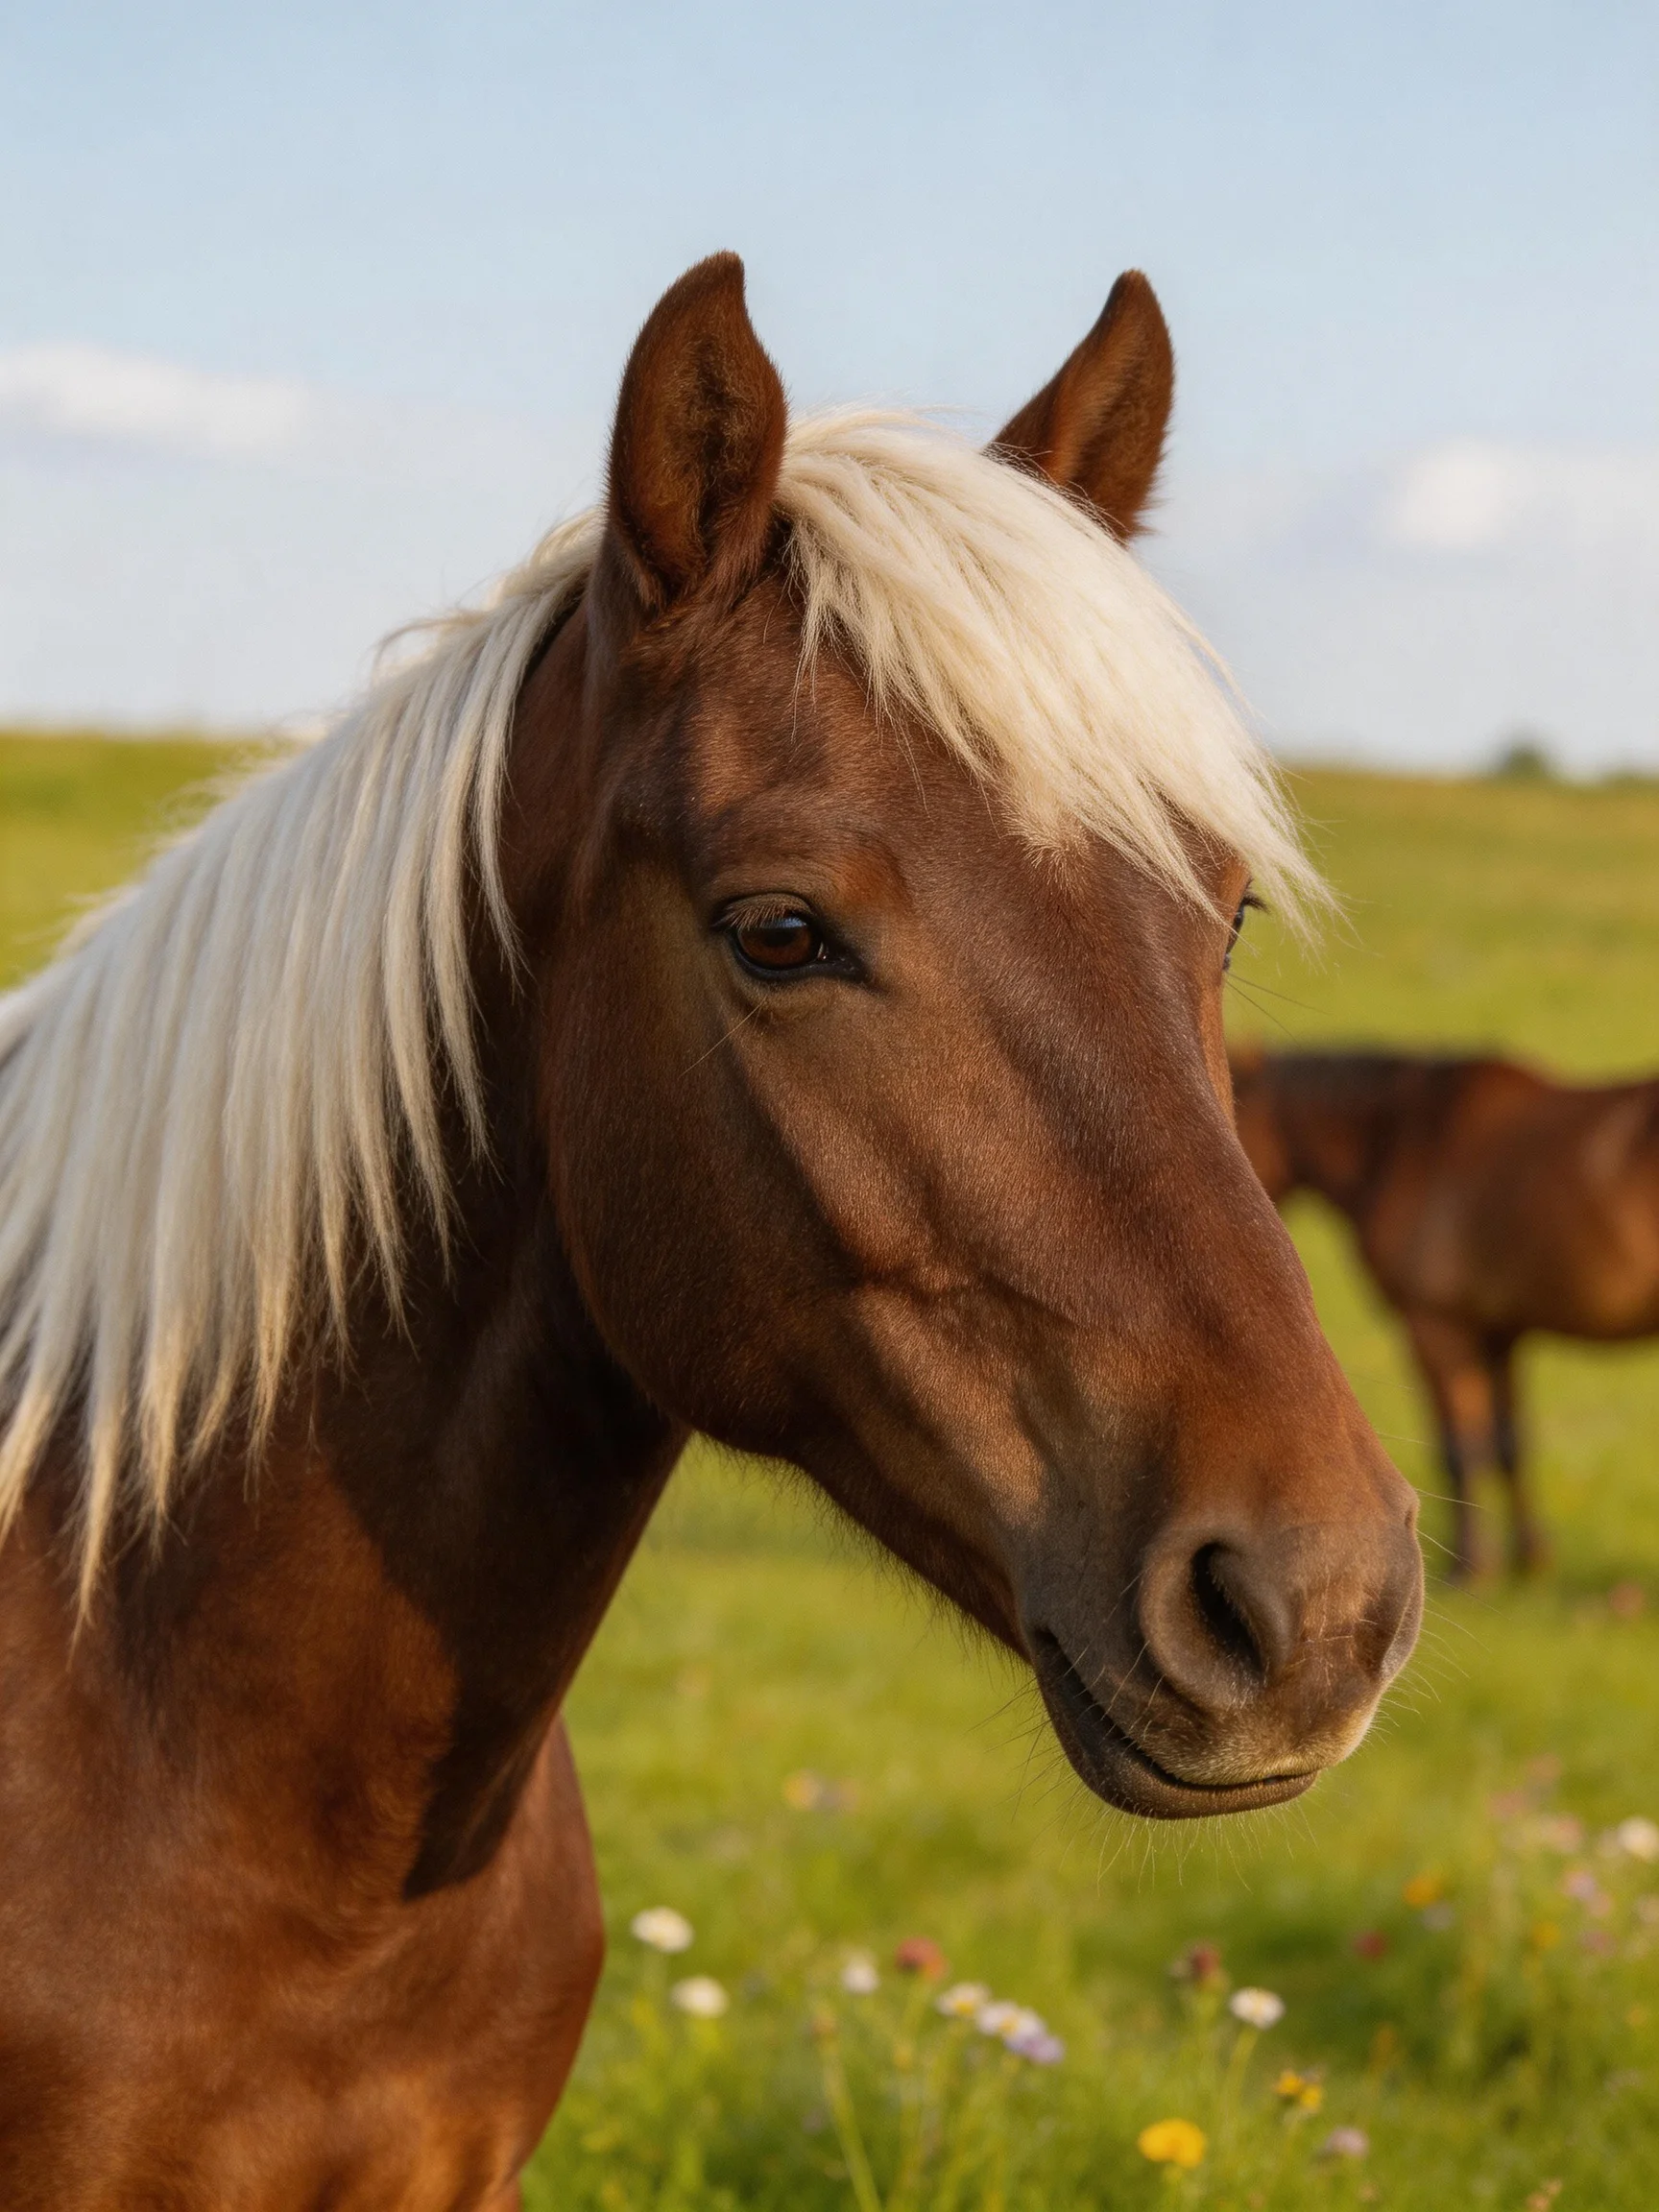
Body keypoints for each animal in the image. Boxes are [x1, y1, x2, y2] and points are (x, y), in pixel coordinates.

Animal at [1230, 1046, 1659, 1577]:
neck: (1406, 1142)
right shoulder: (1496, 1334)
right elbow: (1508, 1445)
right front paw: (1529, 1558)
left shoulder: (1435, 1330)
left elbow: (1460, 1450)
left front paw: (1470, 1564)